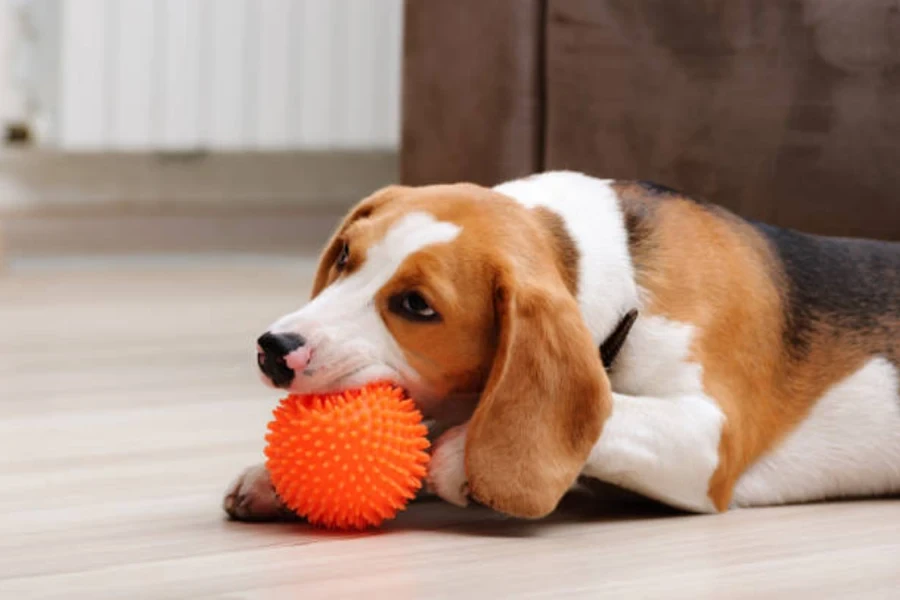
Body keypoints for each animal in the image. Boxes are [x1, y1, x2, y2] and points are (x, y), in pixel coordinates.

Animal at [221, 172, 896, 520]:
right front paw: (271, 481)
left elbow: (612, 412)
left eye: (417, 306)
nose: (275, 348)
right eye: (344, 256)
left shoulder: (710, 442)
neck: (625, 276)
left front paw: (461, 457)